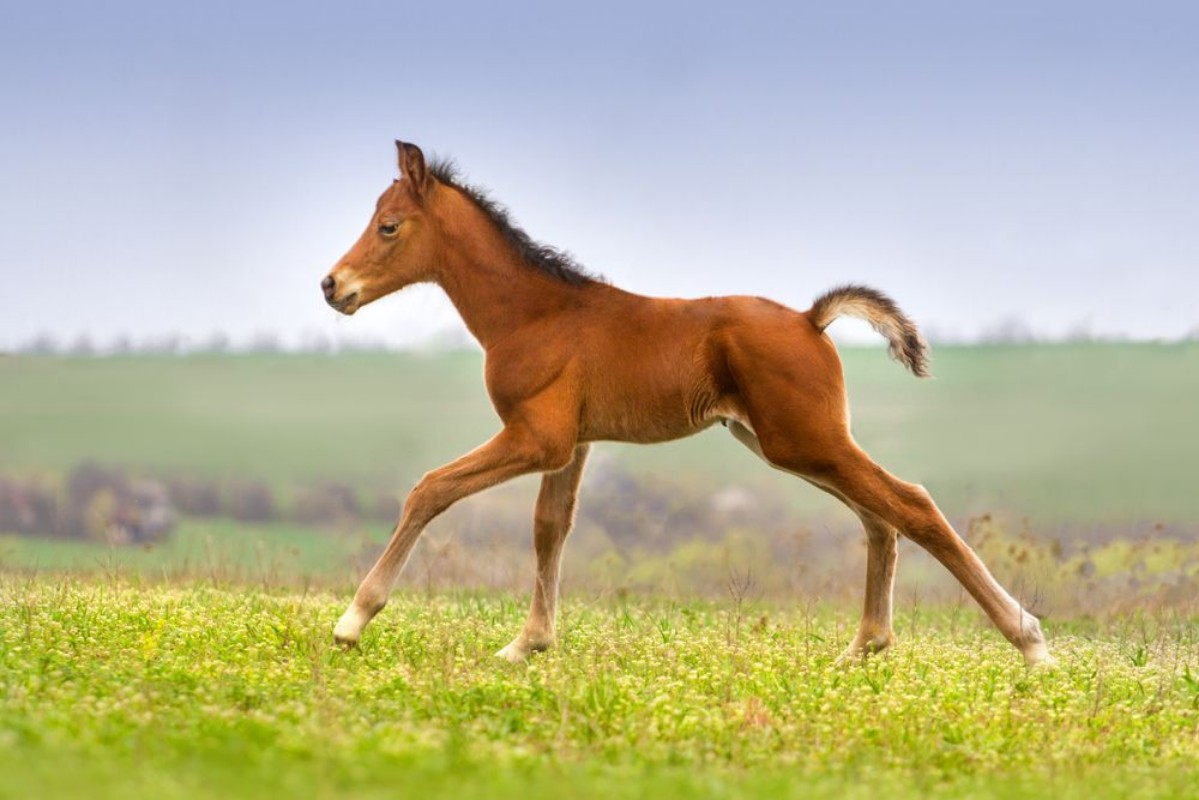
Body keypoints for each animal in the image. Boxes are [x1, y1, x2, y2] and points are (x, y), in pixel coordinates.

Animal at [320, 140, 1052, 667]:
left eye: (389, 227)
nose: (332, 286)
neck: (533, 314)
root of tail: (809, 319)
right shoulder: (572, 443)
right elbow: (549, 527)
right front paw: (527, 645)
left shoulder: (537, 437)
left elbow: (430, 489)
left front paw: (353, 620)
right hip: (786, 443)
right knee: (880, 519)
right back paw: (862, 648)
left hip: (803, 439)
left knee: (911, 505)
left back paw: (1028, 641)